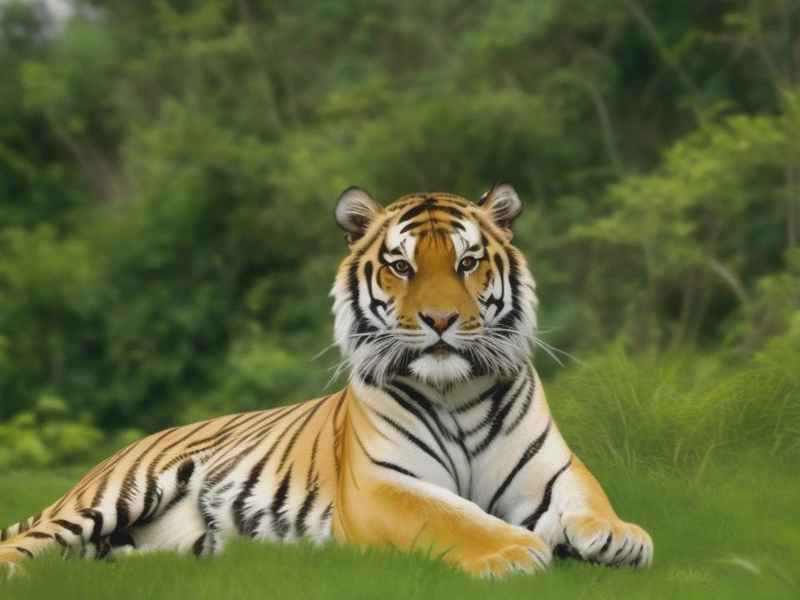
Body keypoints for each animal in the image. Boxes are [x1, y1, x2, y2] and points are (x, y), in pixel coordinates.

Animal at [0, 184, 653, 578]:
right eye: (401, 266)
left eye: (467, 263)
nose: (441, 319)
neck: (455, 389)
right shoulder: (385, 485)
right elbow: (453, 516)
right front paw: (518, 548)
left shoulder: (553, 471)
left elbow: (589, 497)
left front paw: (620, 535)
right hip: (115, 494)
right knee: (25, 543)